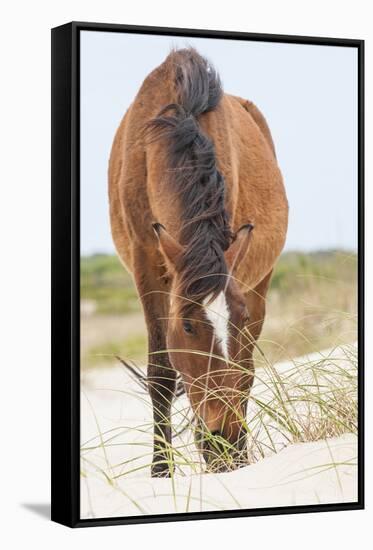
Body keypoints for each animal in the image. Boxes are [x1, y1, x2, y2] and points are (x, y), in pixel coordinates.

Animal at [107, 48, 288, 478]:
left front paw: (229, 454)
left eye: (237, 317)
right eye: (188, 326)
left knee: (247, 369)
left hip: (261, 282)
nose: (225, 437)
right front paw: (160, 472)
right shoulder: (146, 263)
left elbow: (239, 371)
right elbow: (161, 373)